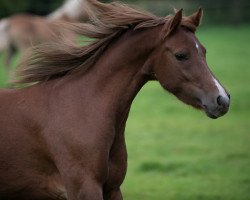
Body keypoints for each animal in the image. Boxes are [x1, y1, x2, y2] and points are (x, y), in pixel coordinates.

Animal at [0, 0, 230, 200]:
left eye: (204, 52)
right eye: (181, 55)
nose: (222, 100)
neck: (81, 107)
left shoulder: (112, 189)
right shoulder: (84, 189)